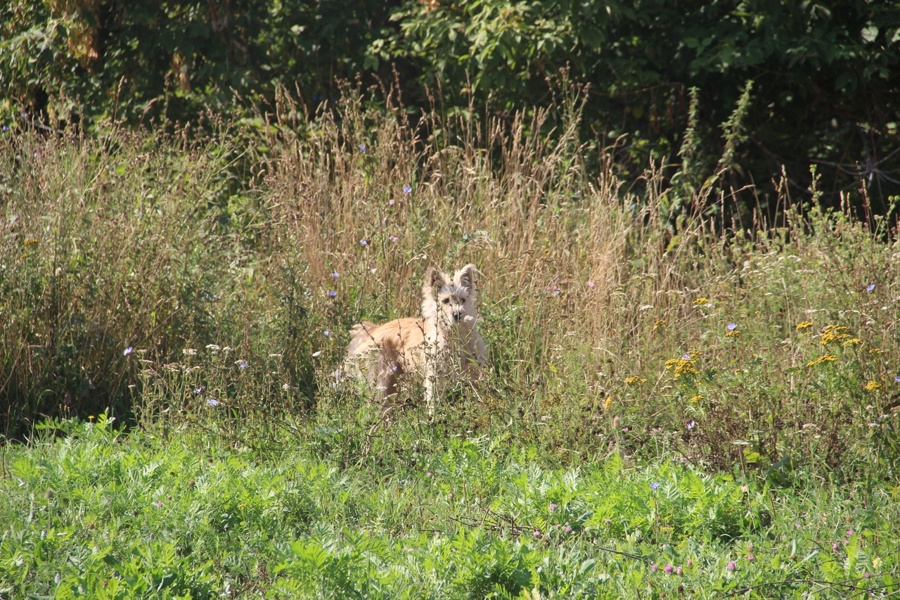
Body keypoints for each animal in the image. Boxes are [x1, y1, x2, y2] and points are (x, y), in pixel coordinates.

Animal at [342, 264, 486, 414]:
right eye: (445, 301)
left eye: (463, 300)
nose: (458, 314)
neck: (454, 336)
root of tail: (372, 330)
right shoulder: (434, 376)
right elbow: (433, 401)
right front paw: (433, 417)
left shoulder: (473, 372)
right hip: (380, 380)